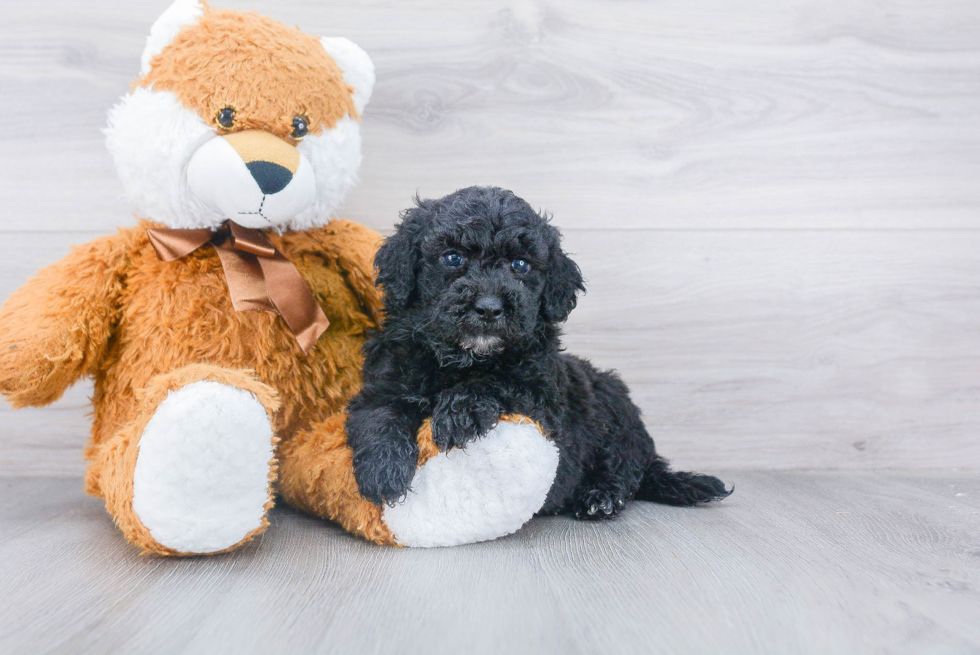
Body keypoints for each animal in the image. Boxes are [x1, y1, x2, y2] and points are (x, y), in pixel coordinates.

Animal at [344, 187, 728, 520]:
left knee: (623, 468)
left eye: (520, 265)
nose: (489, 307)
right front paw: (382, 471)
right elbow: (379, 413)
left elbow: (498, 381)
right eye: (452, 258)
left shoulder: (544, 399)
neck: (463, 357)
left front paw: (460, 411)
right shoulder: (384, 381)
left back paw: (600, 496)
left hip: (615, 412)